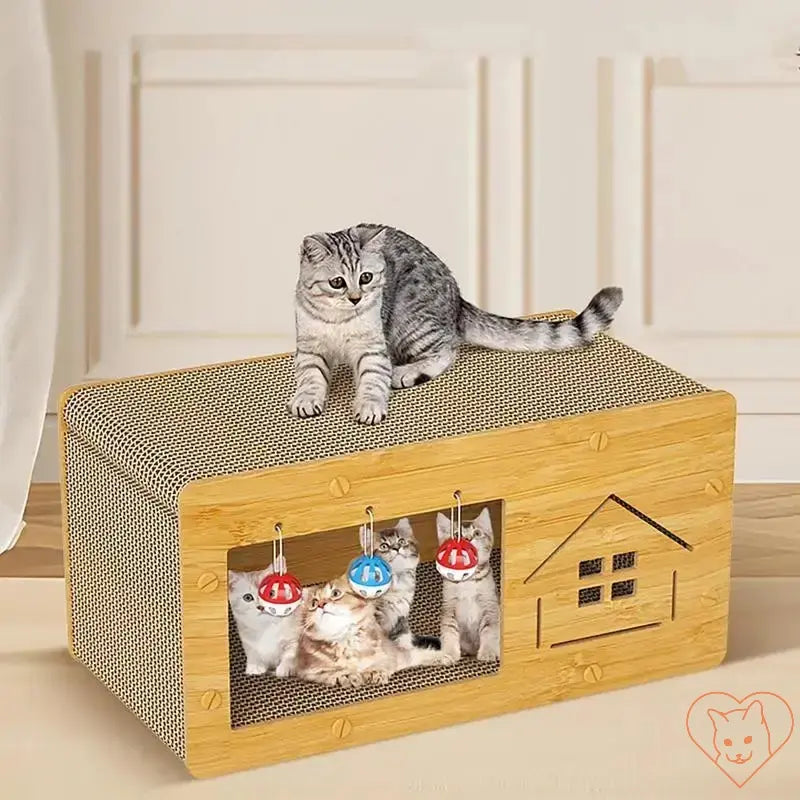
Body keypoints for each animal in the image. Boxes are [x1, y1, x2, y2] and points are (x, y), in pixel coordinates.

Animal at [290, 223, 624, 424]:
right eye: (337, 282)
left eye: (366, 277)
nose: (356, 299)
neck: (339, 320)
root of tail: (457, 299)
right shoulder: (309, 347)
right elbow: (310, 376)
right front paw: (307, 398)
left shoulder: (373, 347)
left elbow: (373, 378)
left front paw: (370, 405)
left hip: (410, 323)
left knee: (447, 350)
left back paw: (407, 372)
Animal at [438, 510, 500, 664]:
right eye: (456, 535)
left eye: (477, 533)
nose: (468, 539)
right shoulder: (449, 606)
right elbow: (449, 632)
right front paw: (449, 654)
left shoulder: (489, 604)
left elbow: (489, 631)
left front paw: (488, 653)